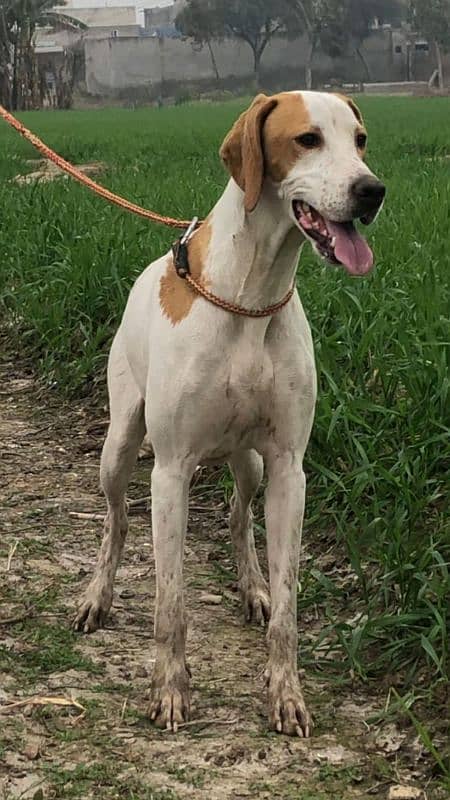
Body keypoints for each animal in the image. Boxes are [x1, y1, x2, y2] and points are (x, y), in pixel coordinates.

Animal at [74, 92, 384, 736]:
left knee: (241, 519)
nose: (372, 190)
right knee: (116, 519)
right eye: (308, 139)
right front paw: (169, 689)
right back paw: (98, 594)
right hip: (118, 446)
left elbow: (288, 605)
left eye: (361, 139)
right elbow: (171, 602)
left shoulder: (289, 467)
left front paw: (286, 692)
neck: (250, 295)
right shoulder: (170, 470)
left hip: (250, 463)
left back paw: (251, 585)